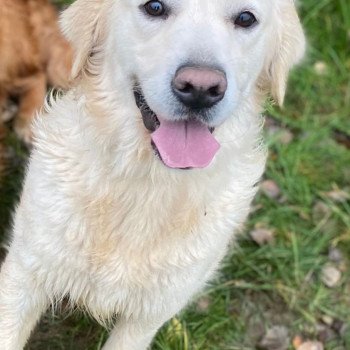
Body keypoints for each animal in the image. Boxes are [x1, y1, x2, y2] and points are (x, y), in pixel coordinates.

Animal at [0, 1, 304, 348]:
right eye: (154, 7)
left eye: (245, 18)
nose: (200, 88)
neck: (144, 181)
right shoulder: (25, 275)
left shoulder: (148, 315)